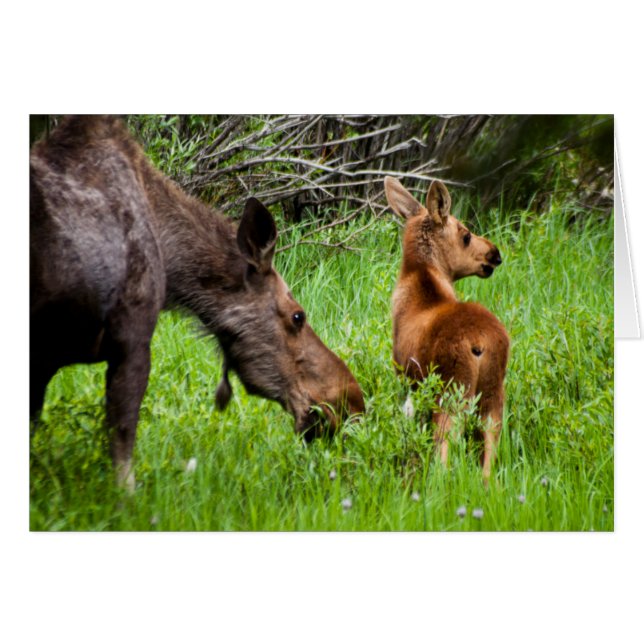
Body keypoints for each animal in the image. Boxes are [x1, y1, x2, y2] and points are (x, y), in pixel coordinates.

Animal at [30, 116, 365, 491]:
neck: (167, 251)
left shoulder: (43, 360)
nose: (351, 401)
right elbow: (123, 455)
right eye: (297, 316)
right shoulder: (131, 340)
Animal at [384, 176, 509, 482]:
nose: (495, 254)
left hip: (451, 390)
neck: (423, 278)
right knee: (489, 449)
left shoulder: (404, 375)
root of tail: (480, 343)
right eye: (466, 235)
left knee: (445, 448)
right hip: (492, 393)